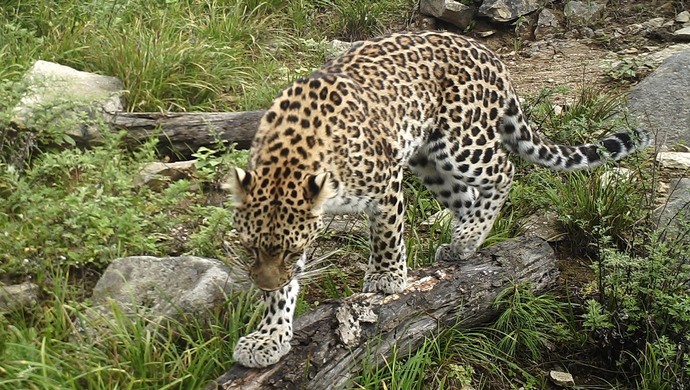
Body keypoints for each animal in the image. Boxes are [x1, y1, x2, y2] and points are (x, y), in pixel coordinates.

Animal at [227, 31, 652, 368]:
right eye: (249, 249)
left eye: (290, 250)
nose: (262, 283)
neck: (288, 158)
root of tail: (490, 54)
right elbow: (284, 293)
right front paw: (269, 336)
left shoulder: (385, 182)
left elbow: (386, 234)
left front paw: (386, 278)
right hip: (427, 160)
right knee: (467, 195)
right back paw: (462, 243)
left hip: (462, 144)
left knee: (504, 170)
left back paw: (467, 238)